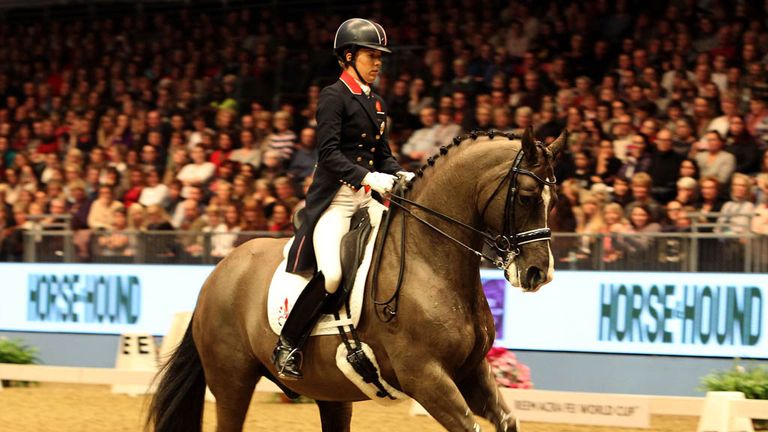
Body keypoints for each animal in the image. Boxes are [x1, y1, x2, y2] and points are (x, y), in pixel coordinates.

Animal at [148, 127, 566, 432]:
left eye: (555, 200)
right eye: (527, 196)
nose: (538, 273)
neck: (428, 259)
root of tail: (220, 272)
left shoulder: (472, 371)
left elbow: (508, 421)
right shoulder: (426, 377)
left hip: (330, 392)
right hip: (231, 381)